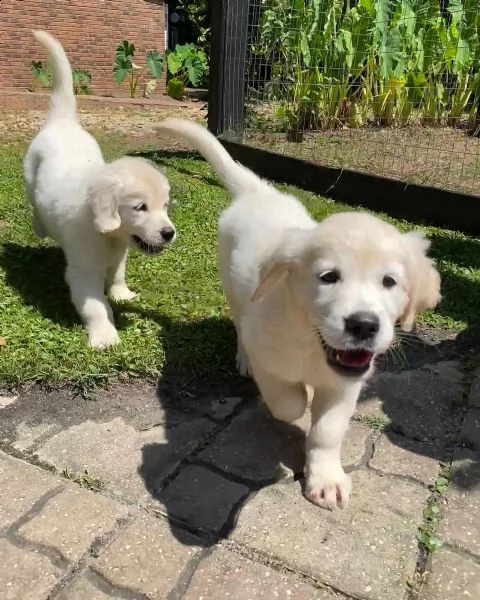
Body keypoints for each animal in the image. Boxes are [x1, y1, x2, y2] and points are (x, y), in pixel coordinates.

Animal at [23, 32, 176, 350]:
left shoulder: (119, 254)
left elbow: (117, 274)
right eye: (140, 207)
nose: (169, 233)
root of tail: (63, 121)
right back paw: (40, 226)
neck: (109, 235)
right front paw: (105, 335)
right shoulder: (83, 270)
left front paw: (121, 293)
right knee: (34, 205)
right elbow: (96, 306)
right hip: (30, 176)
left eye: (165, 206)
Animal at [158, 118, 442, 510]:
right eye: (328, 277)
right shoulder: (267, 353)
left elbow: (327, 430)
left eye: (389, 282)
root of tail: (260, 193)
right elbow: (289, 402)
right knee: (239, 323)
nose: (363, 325)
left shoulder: (345, 384)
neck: (312, 345)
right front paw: (296, 401)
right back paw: (243, 359)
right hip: (232, 290)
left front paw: (325, 478)